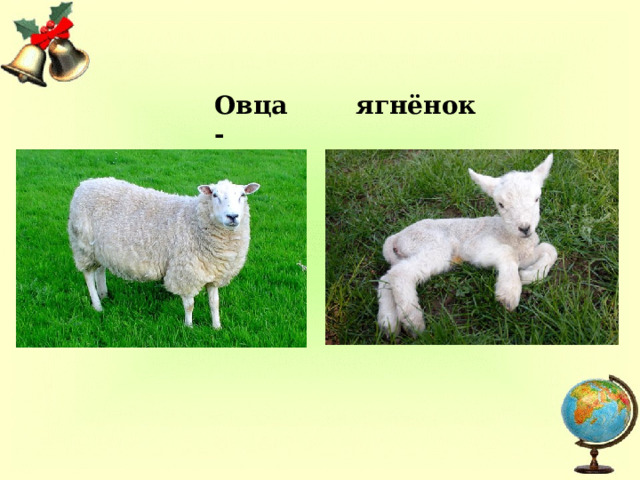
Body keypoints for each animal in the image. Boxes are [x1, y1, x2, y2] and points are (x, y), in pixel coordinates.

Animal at [68, 177, 260, 328]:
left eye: (243, 195)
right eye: (214, 195)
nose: (232, 216)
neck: (194, 221)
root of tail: (85, 184)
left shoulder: (212, 271)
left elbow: (214, 303)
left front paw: (217, 327)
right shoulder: (185, 272)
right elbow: (189, 305)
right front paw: (189, 327)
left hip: (99, 249)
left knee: (100, 270)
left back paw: (104, 294)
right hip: (83, 245)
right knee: (88, 275)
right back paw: (97, 305)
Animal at [377, 153, 557, 337]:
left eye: (537, 199)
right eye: (501, 204)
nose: (525, 228)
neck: (511, 236)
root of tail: (397, 237)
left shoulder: (525, 254)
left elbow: (550, 249)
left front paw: (529, 276)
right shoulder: (475, 245)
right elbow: (508, 252)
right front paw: (509, 292)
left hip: (408, 253)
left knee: (387, 278)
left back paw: (388, 323)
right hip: (430, 244)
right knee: (399, 273)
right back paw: (413, 322)